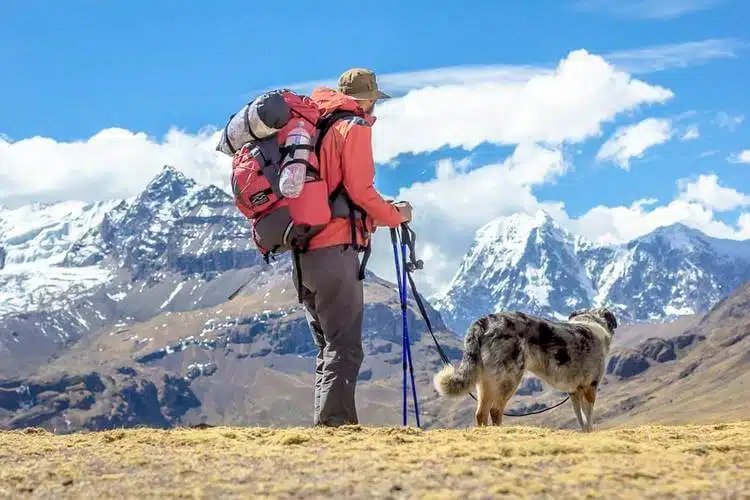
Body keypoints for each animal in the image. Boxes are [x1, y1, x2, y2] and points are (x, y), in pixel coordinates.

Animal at [432, 306, 620, 432]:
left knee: (481, 413)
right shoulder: (590, 387)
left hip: (485, 381)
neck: (590, 320)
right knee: (495, 410)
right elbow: (588, 417)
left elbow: (580, 417)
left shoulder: (574, 391)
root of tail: (484, 322)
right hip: (509, 378)